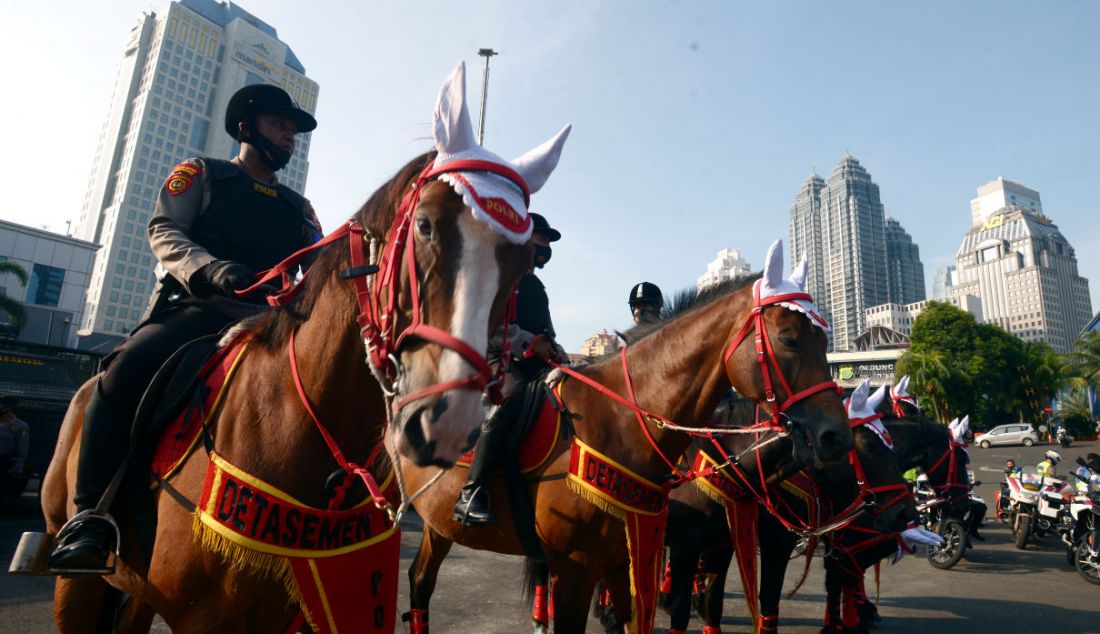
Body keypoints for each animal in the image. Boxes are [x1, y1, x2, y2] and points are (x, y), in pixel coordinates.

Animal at [38, 61, 572, 629]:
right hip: (75, 580)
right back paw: (85, 534)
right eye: (425, 224)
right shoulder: (205, 619)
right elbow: (168, 225)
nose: (448, 419)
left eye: (521, 261)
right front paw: (227, 274)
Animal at [400, 239, 853, 629]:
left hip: (437, 524)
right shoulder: (576, 568)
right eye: (789, 340)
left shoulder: (626, 558)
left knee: (420, 582)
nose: (836, 435)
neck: (620, 423)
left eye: (824, 339)